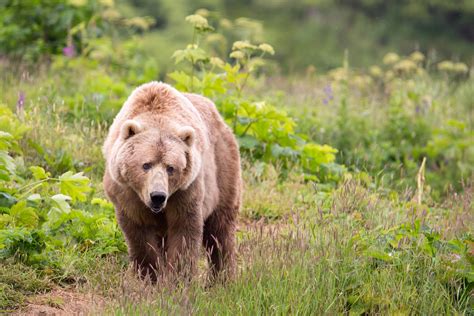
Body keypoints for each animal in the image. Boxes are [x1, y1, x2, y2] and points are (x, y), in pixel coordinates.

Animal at [101, 82, 241, 282]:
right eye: (146, 165)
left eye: (170, 167)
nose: (158, 196)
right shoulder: (126, 193)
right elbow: (139, 233)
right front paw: (150, 275)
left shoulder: (186, 191)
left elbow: (184, 231)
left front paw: (177, 278)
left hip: (222, 166)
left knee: (220, 228)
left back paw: (222, 277)